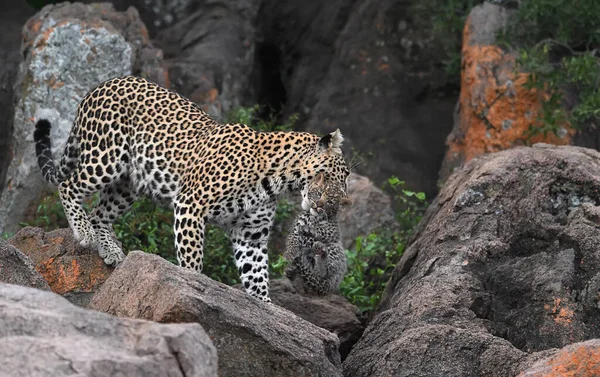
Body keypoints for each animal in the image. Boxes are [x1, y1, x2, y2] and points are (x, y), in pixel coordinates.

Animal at [32, 75, 350, 302]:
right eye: (341, 176)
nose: (339, 204)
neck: (277, 179)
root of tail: (98, 87)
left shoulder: (251, 234)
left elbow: (257, 275)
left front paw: (265, 308)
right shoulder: (190, 206)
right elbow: (192, 259)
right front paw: (191, 287)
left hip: (127, 184)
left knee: (100, 214)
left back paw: (110, 250)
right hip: (105, 158)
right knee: (69, 185)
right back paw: (83, 231)